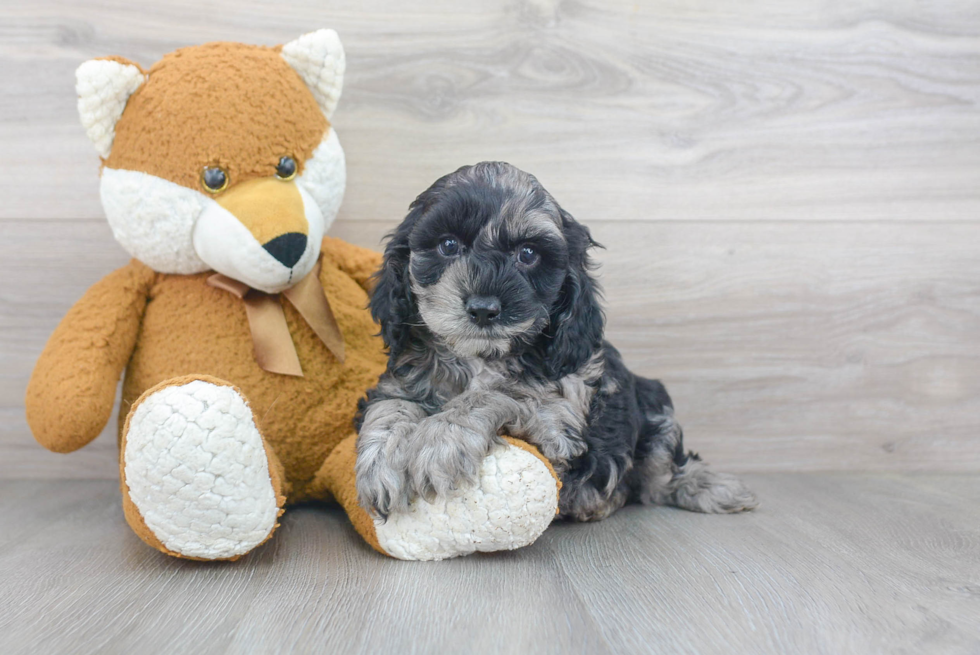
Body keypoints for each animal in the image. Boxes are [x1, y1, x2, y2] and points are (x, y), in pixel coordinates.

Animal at [354, 163, 756, 524]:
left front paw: (439, 440)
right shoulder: (399, 383)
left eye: (528, 254)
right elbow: (391, 407)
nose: (484, 309)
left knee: (663, 475)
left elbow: (502, 391)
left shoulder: (560, 419)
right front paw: (382, 464)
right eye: (448, 245)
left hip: (656, 406)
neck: (480, 358)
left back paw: (711, 489)